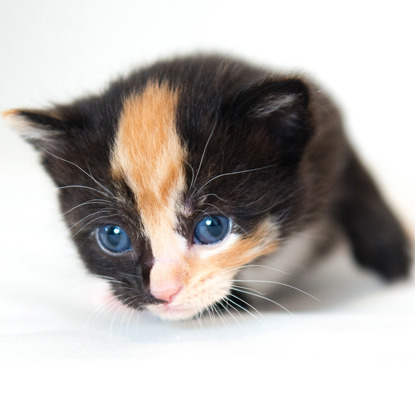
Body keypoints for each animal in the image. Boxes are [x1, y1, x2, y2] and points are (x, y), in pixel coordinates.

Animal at [4, 54, 412, 322]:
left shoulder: (327, 135)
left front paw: (394, 257)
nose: (162, 292)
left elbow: (356, 179)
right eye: (113, 236)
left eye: (212, 228)